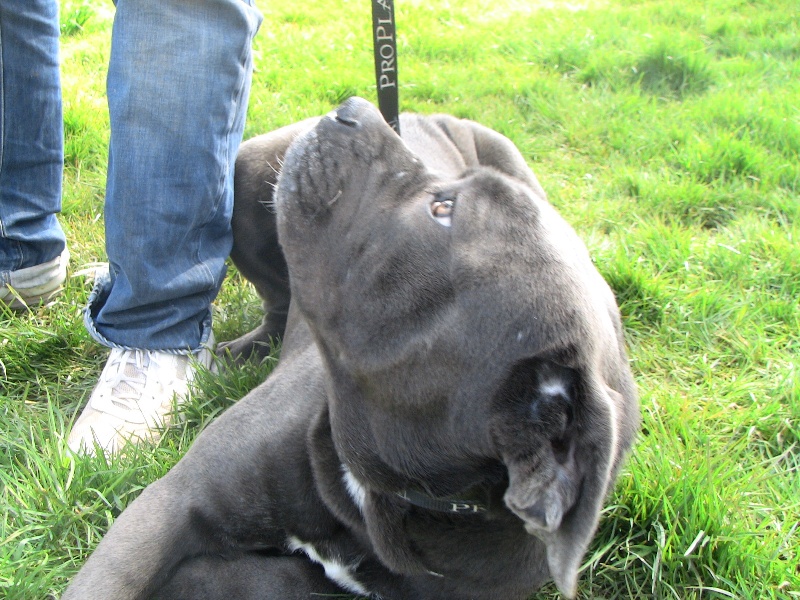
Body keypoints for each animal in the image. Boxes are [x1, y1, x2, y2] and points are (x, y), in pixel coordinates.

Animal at [63, 97, 639, 600]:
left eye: (443, 208)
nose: (354, 109)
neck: (385, 493)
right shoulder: (171, 506)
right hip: (250, 178)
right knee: (277, 296)